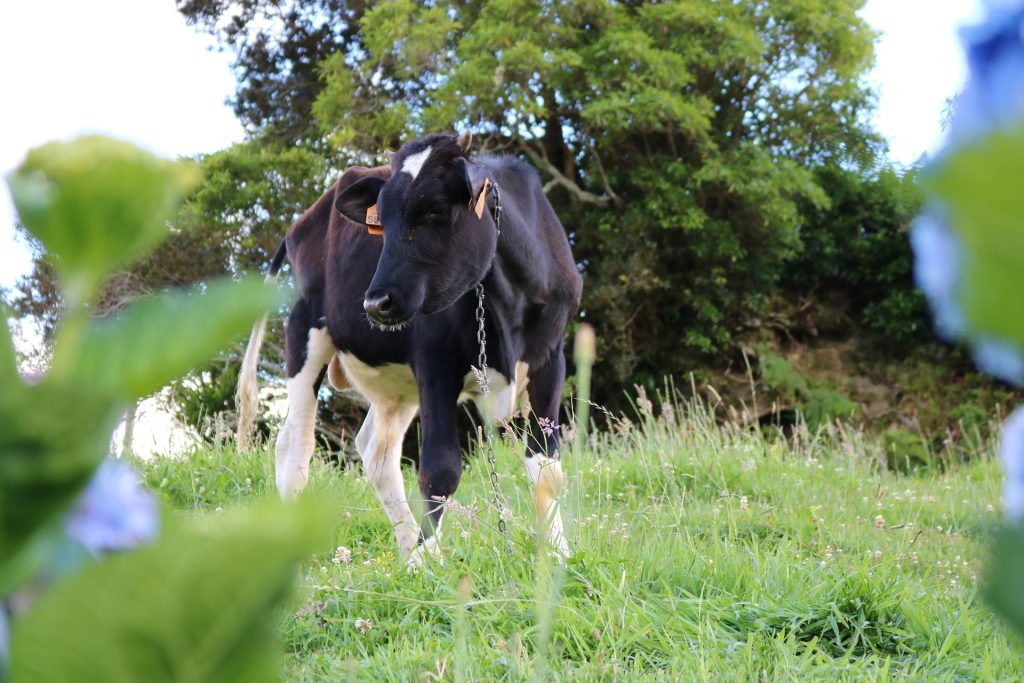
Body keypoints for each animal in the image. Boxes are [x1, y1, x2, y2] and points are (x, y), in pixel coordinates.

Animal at [234, 131, 581, 565]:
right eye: (379, 221)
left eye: (436, 208)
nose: (375, 303)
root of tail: (301, 221)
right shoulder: (435, 362)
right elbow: (440, 468)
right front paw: (425, 561)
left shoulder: (550, 358)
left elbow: (546, 465)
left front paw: (558, 554)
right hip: (304, 332)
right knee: (295, 448)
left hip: (396, 387)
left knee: (375, 453)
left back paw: (403, 546)